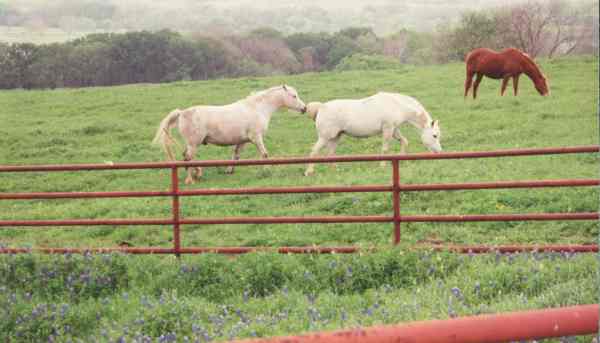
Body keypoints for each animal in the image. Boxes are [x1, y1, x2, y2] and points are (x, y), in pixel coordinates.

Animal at [152, 84, 308, 184]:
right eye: (294, 96)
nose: (304, 108)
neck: (257, 108)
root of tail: (182, 112)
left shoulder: (242, 141)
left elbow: (236, 156)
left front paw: (229, 170)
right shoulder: (256, 138)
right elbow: (264, 154)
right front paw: (267, 170)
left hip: (191, 144)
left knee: (186, 157)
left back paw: (197, 173)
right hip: (193, 144)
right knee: (188, 158)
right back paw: (190, 179)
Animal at [304, 91, 440, 176]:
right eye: (435, 135)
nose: (439, 152)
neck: (396, 105)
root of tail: (321, 107)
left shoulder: (394, 129)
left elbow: (404, 141)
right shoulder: (387, 129)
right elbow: (385, 149)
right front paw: (382, 165)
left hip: (335, 137)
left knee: (330, 154)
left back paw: (336, 170)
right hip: (324, 137)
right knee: (314, 151)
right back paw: (309, 172)